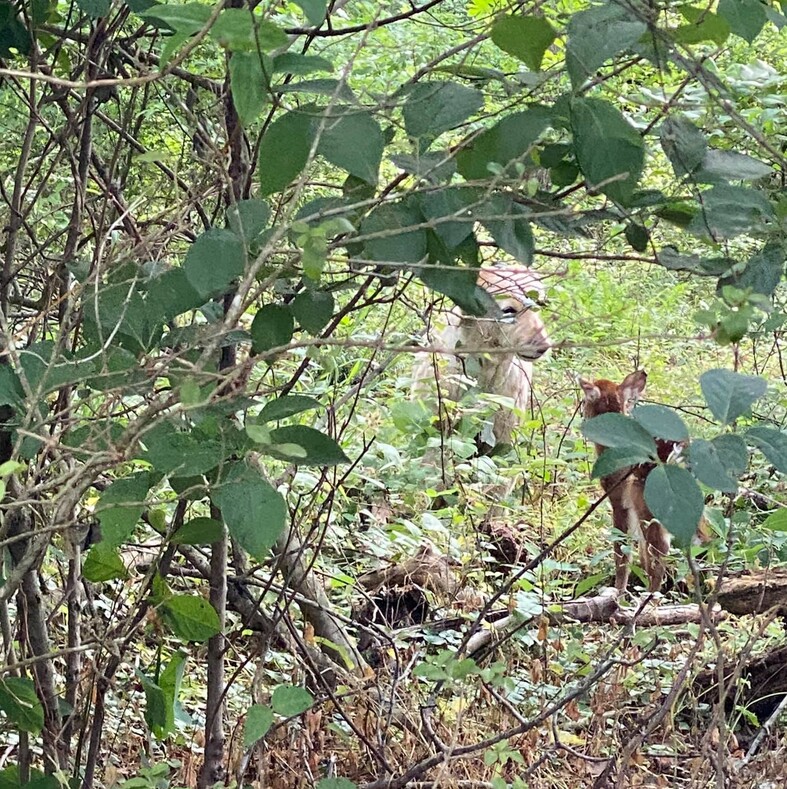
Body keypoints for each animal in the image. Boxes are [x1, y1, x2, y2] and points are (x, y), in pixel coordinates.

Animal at [580, 370, 676, 592]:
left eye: (585, 401)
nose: (582, 414)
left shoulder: (619, 499)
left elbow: (622, 552)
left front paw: (619, 592)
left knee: (659, 550)